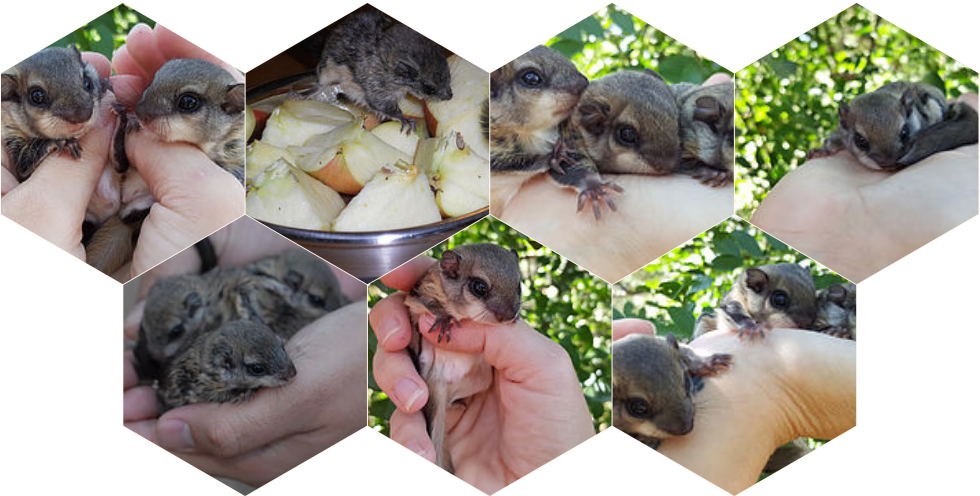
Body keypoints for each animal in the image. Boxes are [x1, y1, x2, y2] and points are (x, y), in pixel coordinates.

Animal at [1, 45, 110, 182]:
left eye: (87, 81)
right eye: (37, 96)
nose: (84, 116)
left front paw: (105, 84)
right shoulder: (12, 134)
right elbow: (24, 165)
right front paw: (66, 142)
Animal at [316, 7, 452, 134]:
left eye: (448, 73)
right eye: (429, 87)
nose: (450, 96)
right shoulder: (377, 89)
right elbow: (388, 108)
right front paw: (406, 121)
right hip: (327, 73)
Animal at [404, 243, 522, 473]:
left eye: (519, 286)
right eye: (480, 287)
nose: (509, 316)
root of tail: (440, 383)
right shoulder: (419, 295)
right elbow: (427, 306)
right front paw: (444, 319)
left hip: (479, 381)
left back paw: (455, 403)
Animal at [809, 81, 978, 170]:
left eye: (904, 132)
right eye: (860, 141)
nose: (889, 163)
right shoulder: (841, 133)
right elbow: (832, 142)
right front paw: (820, 151)